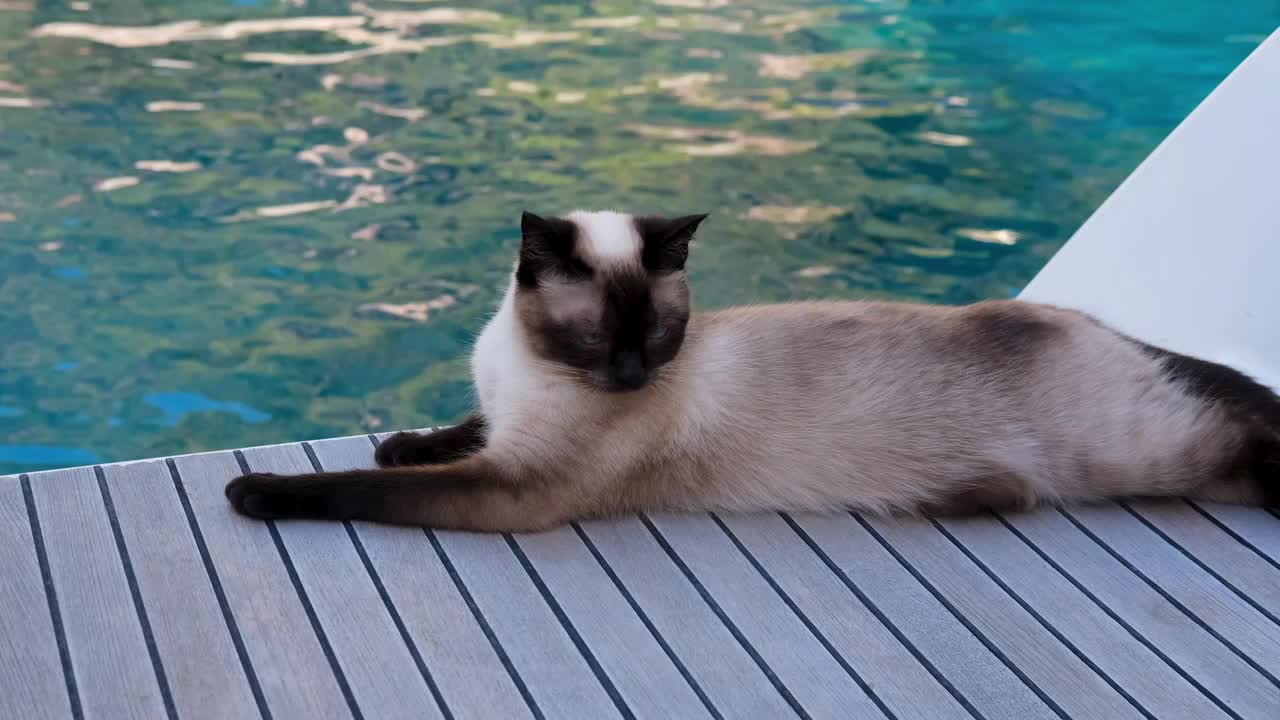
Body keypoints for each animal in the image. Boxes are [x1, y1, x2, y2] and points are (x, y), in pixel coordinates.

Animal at [227, 210, 1280, 530]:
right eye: (600, 339)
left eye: (658, 337)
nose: (630, 378)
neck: (528, 362)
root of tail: (1094, 325)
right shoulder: (499, 423)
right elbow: (443, 434)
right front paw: (404, 439)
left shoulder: (515, 488)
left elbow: (358, 487)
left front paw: (257, 493)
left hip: (1146, 451)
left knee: (1242, 433)